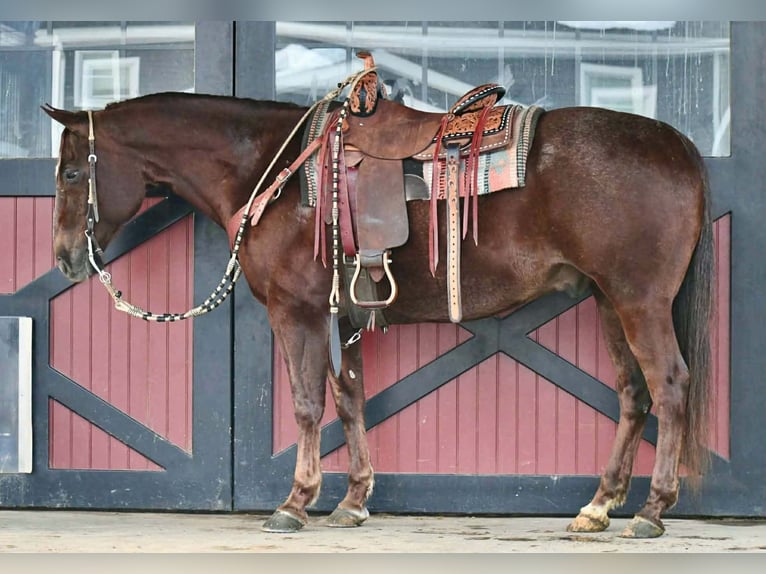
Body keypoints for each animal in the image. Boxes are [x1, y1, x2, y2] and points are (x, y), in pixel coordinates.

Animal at [43, 85, 713, 539]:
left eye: (73, 171)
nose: (66, 258)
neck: (273, 170)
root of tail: (677, 145)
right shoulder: (340, 319)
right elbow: (349, 400)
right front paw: (353, 500)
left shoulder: (296, 311)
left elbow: (307, 403)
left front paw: (296, 503)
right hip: (607, 298)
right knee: (633, 393)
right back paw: (599, 507)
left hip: (638, 300)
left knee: (670, 386)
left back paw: (652, 510)